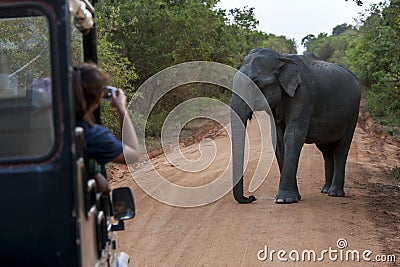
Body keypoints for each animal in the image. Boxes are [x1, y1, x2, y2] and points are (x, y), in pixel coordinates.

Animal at [230, 48, 360, 204]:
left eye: (256, 83)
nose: (251, 197)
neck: (281, 59)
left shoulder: (303, 96)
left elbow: (293, 136)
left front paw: (284, 200)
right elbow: (278, 139)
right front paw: (294, 197)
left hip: (353, 113)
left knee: (342, 148)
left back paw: (335, 193)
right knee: (326, 150)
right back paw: (325, 190)